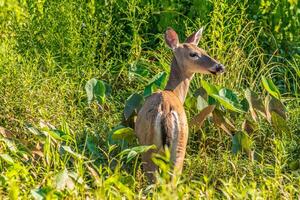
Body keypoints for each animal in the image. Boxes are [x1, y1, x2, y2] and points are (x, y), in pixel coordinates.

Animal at [135, 26, 224, 181]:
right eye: (193, 54)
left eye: (204, 50)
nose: (219, 67)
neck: (174, 92)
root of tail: (166, 110)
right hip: (177, 144)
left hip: (153, 147)